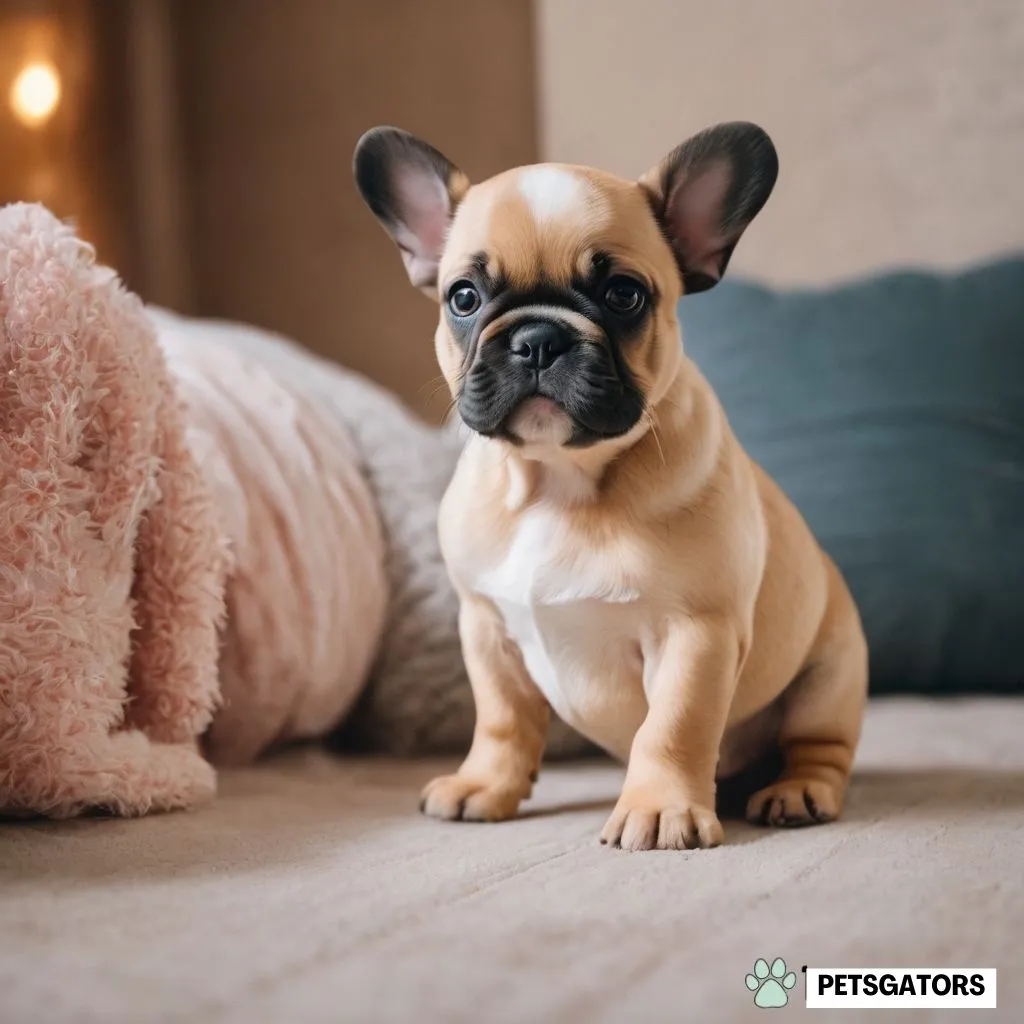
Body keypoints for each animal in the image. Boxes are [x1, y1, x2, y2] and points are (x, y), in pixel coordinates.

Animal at [356, 123, 868, 851]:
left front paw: (659, 807)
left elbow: (673, 726)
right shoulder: (486, 631)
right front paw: (486, 785)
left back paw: (796, 791)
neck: (557, 482)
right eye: (464, 298)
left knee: (820, 747)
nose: (538, 338)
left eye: (623, 294)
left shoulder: (695, 633)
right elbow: (501, 717)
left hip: (831, 676)